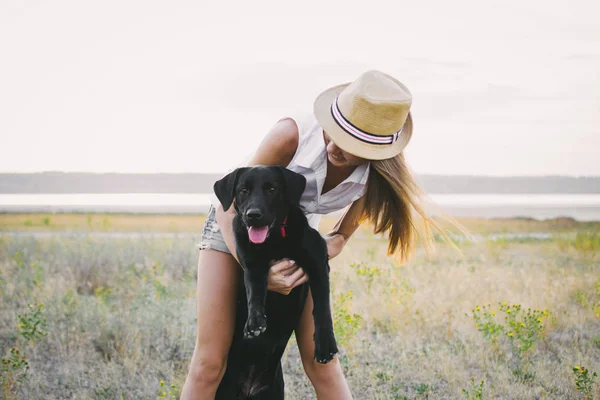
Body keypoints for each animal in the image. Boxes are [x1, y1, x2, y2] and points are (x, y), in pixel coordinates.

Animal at [213, 165, 338, 396]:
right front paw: (254, 322)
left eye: (272, 189)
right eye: (243, 190)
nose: (253, 215)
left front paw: (325, 343)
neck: (275, 240)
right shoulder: (252, 264)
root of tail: (250, 387)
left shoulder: (318, 263)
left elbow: (322, 307)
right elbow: (254, 292)